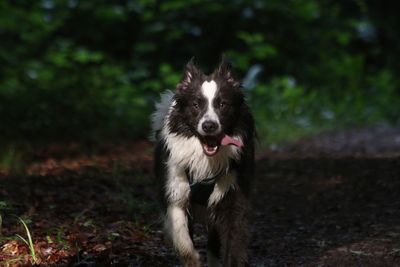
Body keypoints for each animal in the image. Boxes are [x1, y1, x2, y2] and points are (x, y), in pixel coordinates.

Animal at [152, 57, 255, 266]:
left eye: (222, 104)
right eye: (196, 105)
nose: (209, 126)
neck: (205, 161)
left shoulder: (233, 195)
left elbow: (234, 237)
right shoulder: (174, 193)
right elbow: (183, 241)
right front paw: (192, 260)